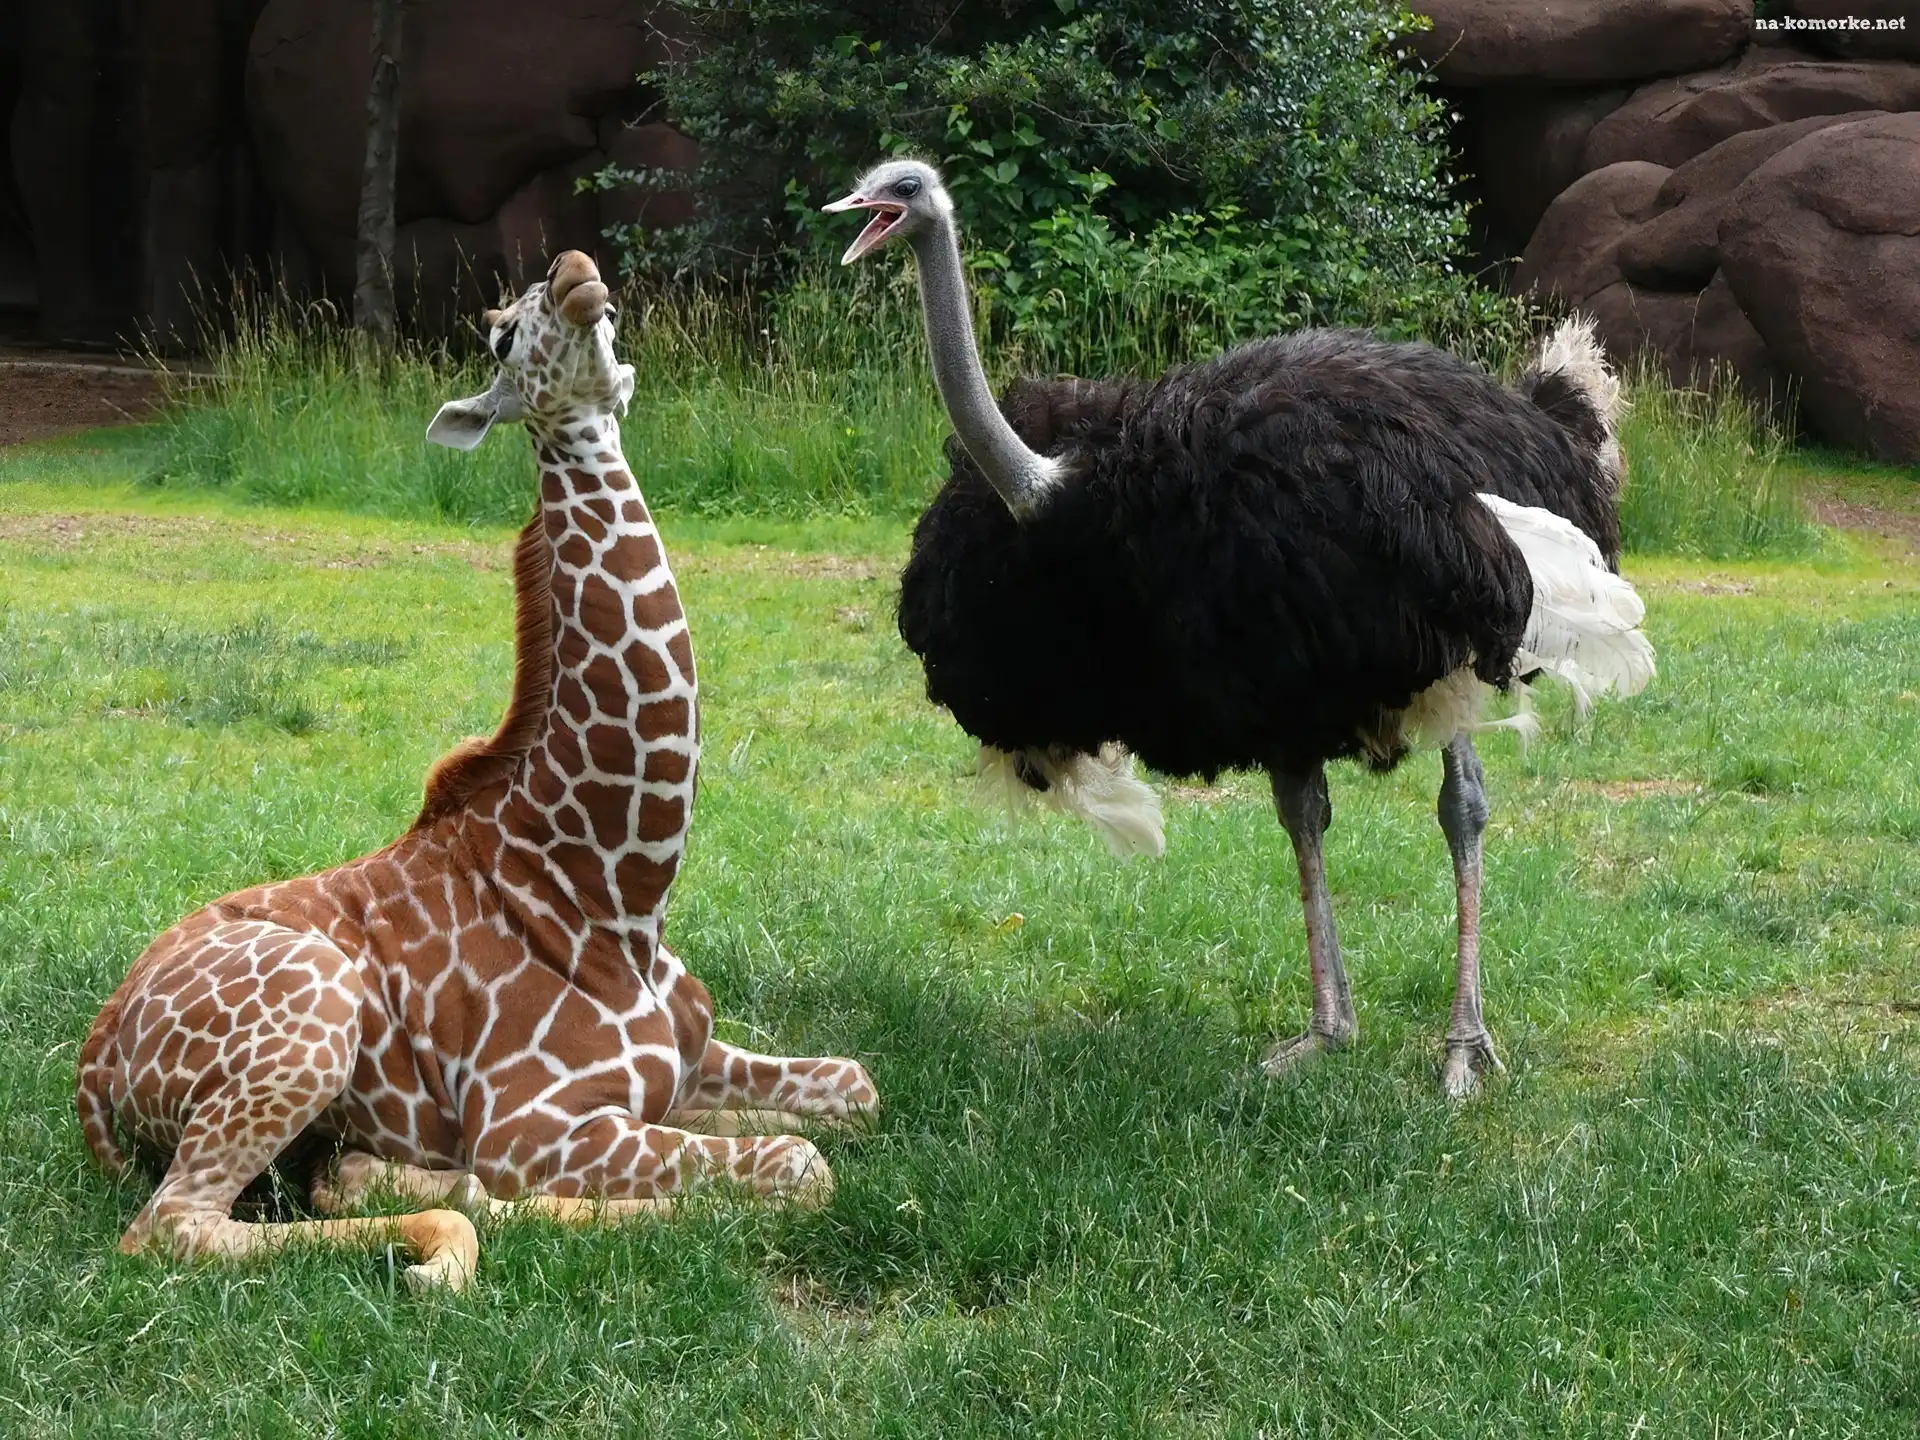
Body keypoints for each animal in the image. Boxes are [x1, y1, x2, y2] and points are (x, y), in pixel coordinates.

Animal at [75, 252, 879, 1291]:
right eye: (500, 336)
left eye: (607, 316)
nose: (578, 273)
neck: (621, 891)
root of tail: (96, 1061)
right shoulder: (531, 1123)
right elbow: (800, 1164)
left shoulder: (692, 1060)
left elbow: (856, 1087)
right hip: (315, 1011)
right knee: (176, 1224)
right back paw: (433, 1231)